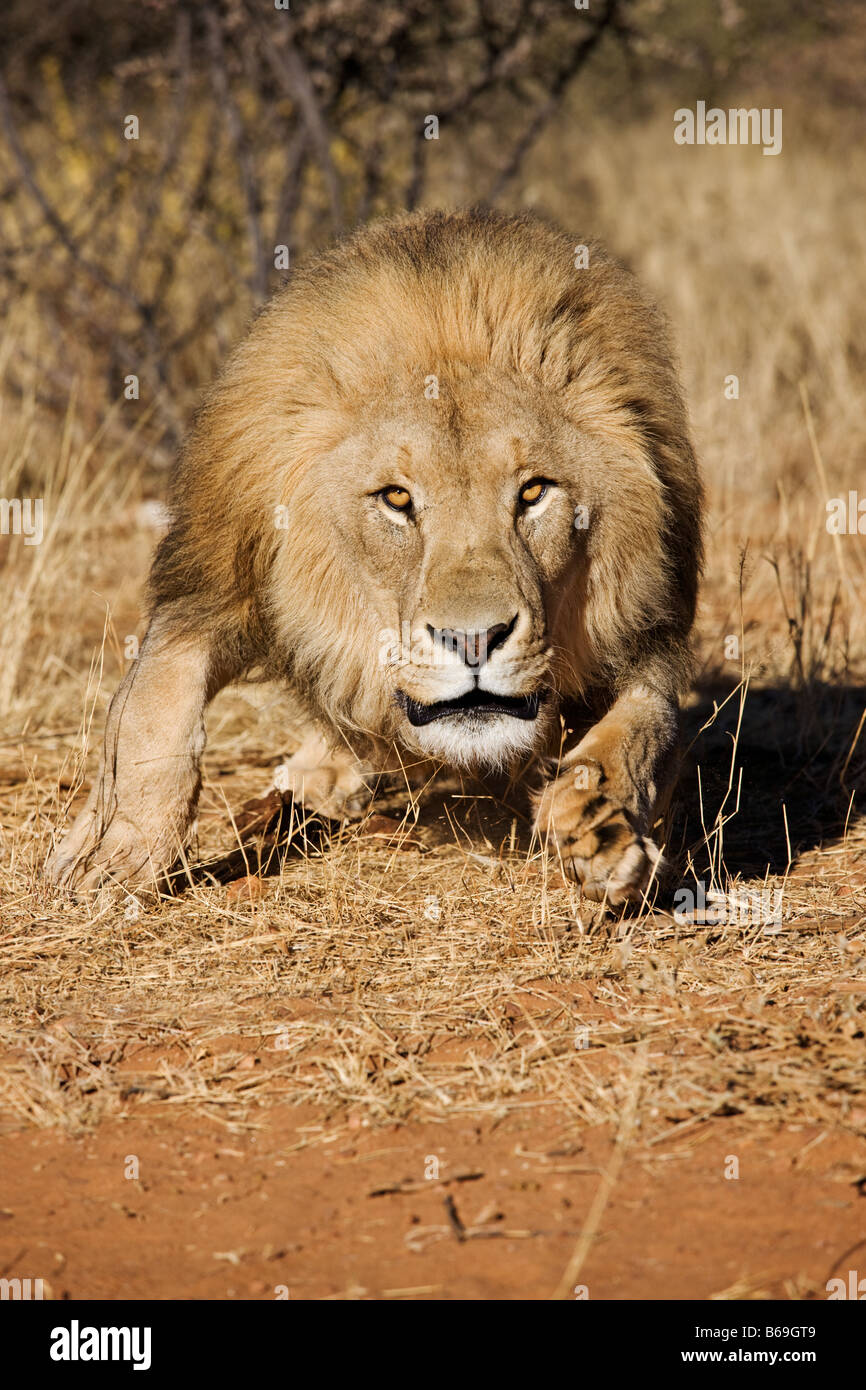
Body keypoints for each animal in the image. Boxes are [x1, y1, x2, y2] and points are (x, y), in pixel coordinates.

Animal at [44, 202, 700, 900]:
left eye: (533, 492)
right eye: (396, 499)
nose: (474, 641)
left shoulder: (648, 622)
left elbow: (645, 726)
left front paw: (601, 825)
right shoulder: (212, 577)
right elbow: (153, 701)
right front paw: (112, 851)